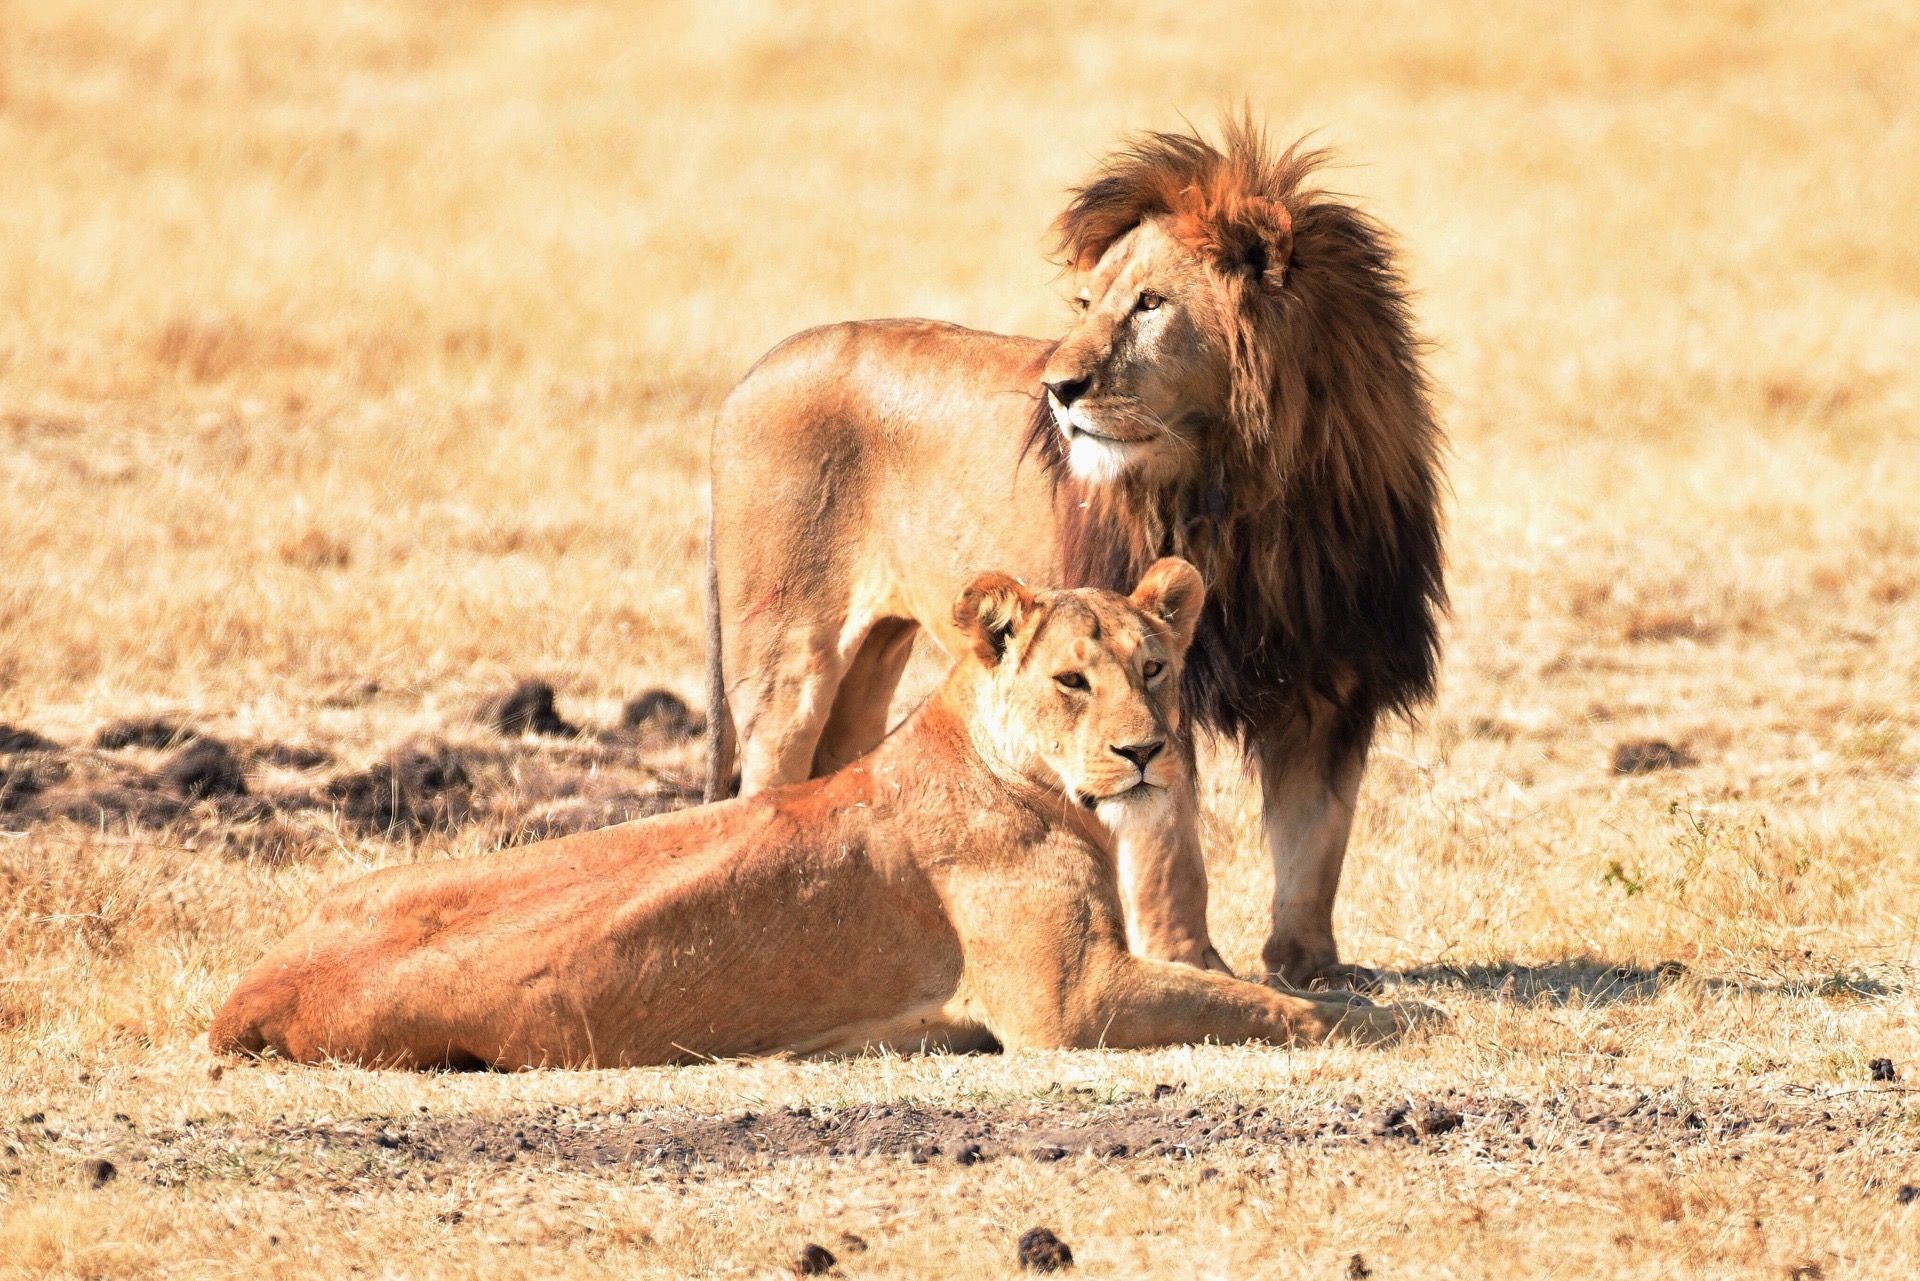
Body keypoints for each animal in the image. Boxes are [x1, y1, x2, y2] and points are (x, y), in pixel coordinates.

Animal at [214, 560, 1443, 1075]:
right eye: (1073, 681)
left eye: (1154, 668)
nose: (1146, 753)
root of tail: (252, 987)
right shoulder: (1068, 1003)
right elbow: (1264, 1004)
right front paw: (1386, 1015)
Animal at [706, 120, 1443, 990]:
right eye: (1088, 305)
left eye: (1151, 303)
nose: (1057, 389)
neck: (1256, 492)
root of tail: (747, 378)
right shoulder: (1157, 678)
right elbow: (1168, 847)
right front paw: (1191, 963)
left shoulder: (1334, 680)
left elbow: (1315, 844)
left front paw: (1313, 970)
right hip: (786, 660)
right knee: (764, 779)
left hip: (872, 657)